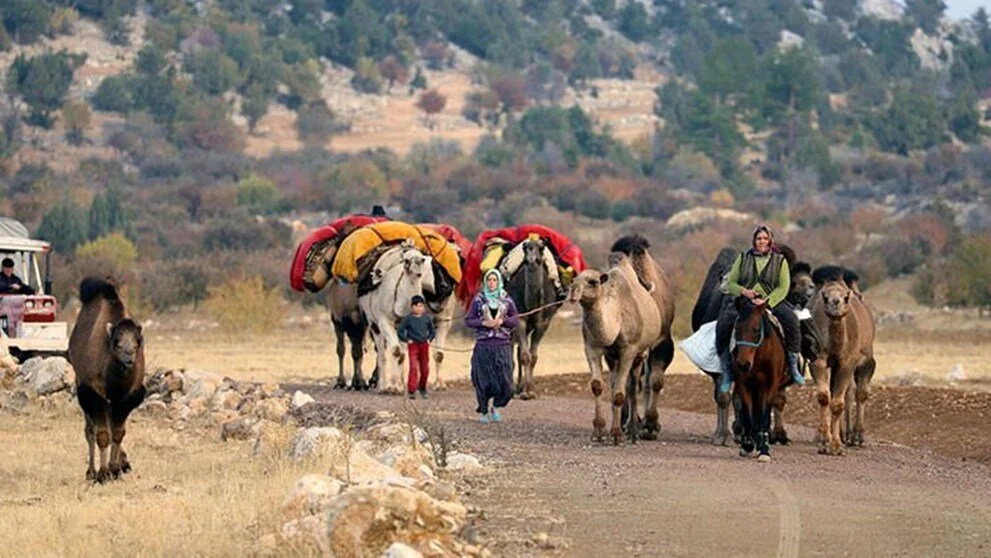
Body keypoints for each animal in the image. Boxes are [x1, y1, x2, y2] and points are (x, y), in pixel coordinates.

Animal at [69, 280, 146, 486]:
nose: (129, 360)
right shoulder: (94, 393)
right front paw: (103, 474)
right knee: (90, 430)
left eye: (137, 342)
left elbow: (118, 433)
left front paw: (116, 469)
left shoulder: (127, 398)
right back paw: (91, 472)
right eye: (116, 342)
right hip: (82, 387)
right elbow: (102, 435)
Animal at [568, 256, 664, 448]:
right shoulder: (592, 347)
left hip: (640, 355)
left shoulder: (628, 349)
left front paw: (617, 435)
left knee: (632, 386)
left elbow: (620, 393)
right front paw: (599, 432)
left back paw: (633, 432)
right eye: (573, 280)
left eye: (593, 282)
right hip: (612, 358)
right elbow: (597, 386)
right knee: (615, 383)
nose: (572, 290)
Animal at [732, 298, 788, 464]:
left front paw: (764, 451)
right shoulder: (743, 384)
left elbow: (764, 415)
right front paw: (747, 445)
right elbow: (748, 414)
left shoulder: (770, 386)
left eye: (756, 329)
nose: (743, 364)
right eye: (737, 329)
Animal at [808, 272, 880, 460]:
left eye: (846, 297)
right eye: (824, 297)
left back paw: (856, 437)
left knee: (859, 392)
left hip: (865, 359)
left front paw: (837, 446)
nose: (835, 304)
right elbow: (824, 397)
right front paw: (825, 443)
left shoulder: (849, 363)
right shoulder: (817, 361)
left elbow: (839, 402)